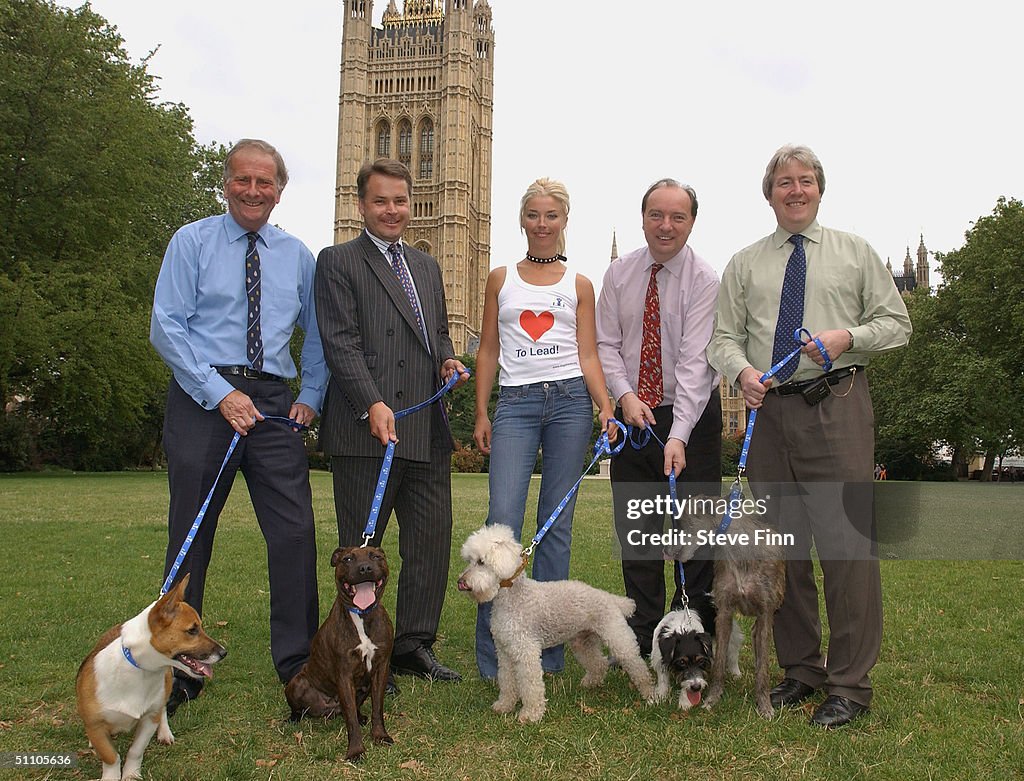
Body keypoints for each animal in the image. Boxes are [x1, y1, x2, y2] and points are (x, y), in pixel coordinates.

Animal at [75, 573, 226, 781]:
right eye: (192, 630)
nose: (224, 653)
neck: (142, 670)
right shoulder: (96, 726)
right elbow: (110, 756)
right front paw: (111, 776)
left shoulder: (148, 720)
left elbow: (136, 750)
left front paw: (131, 775)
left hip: (167, 684)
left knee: (162, 710)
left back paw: (165, 733)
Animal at [458, 522, 651, 724]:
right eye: (469, 560)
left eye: (481, 562)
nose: (460, 582)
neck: (513, 598)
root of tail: (612, 599)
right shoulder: (505, 651)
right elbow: (507, 681)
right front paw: (504, 705)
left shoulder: (526, 652)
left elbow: (531, 686)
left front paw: (530, 715)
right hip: (582, 641)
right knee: (599, 663)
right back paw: (590, 683)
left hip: (617, 637)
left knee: (639, 668)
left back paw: (651, 695)